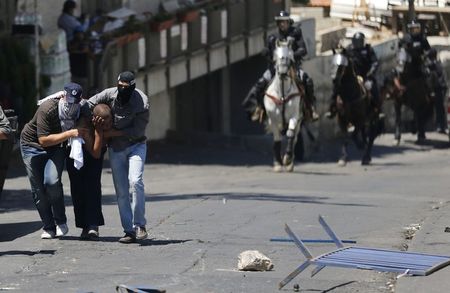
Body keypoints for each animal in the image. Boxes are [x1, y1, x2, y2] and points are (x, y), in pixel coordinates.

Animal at [264, 38, 306, 171]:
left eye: (289, 58)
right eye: (276, 57)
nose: (283, 73)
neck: (281, 93)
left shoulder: (294, 117)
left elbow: (290, 134)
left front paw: (287, 159)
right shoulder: (273, 119)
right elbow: (276, 139)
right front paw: (277, 163)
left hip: (299, 121)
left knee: (294, 137)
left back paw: (289, 162)